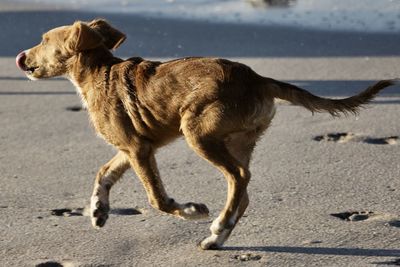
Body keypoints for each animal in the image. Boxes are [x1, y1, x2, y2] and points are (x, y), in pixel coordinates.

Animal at [16, 19, 396, 251]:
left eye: (44, 41)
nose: (20, 56)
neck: (99, 72)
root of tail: (259, 79)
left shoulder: (139, 149)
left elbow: (157, 199)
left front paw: (191, 211)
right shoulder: (132, 147)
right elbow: (104, 172)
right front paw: (98, 211)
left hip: (197, 131)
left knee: (239, 177)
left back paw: (219, 224)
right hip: (236, 139)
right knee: (243, 189)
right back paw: (218, 235)